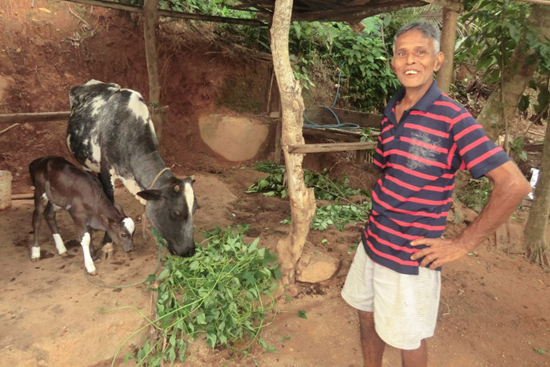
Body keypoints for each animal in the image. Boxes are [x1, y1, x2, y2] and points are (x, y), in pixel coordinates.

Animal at [66, 80, 198, 258]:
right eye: (176, 213)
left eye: (195, 209)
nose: (190, 250)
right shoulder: (107, 170)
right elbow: (109, 203)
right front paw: (107, 244)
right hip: (83, 161)